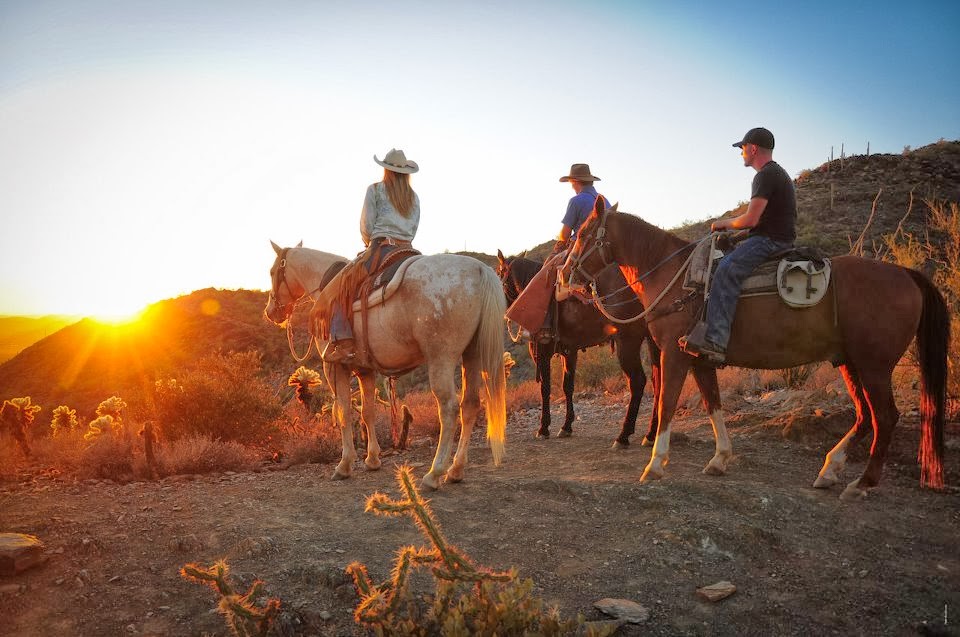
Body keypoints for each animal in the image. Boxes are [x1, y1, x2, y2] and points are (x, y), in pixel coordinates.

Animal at [496, 251, 660, 444]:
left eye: (498, 272)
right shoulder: (569, 352)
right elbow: (568, 386)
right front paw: (566, 426)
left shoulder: (542, 353)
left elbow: (545, 388)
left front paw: (543, 428)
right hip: (653, 339)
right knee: (658, 381)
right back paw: (652, 434)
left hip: (628, 341)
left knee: (638, 381)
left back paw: (624, 435)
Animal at [560, 198, 948, 496]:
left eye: (583, 234)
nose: (565, 275)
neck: (675, 275)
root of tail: (905, 274)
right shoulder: (700, 358)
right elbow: (713, 405)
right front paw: (719, 459)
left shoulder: (674, 354)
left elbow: (667, 403)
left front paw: (655, 464)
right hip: (850, 362)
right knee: (866, 417)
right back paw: (830, 470)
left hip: (874, 366)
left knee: (885, 417)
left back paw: (862, 483)